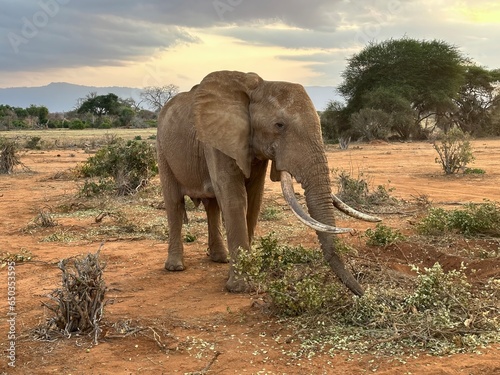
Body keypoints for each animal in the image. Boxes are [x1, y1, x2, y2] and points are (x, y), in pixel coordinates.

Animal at [157, 69, 378, 296]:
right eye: (279, 125)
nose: (363, 294)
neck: (256, 87)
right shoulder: (218, 140)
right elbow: (235, 198)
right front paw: (240, 288)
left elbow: (254, 199)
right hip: (162, 148)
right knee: (174, 203)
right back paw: (175, 267)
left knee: (212, 206)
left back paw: (220, 259)